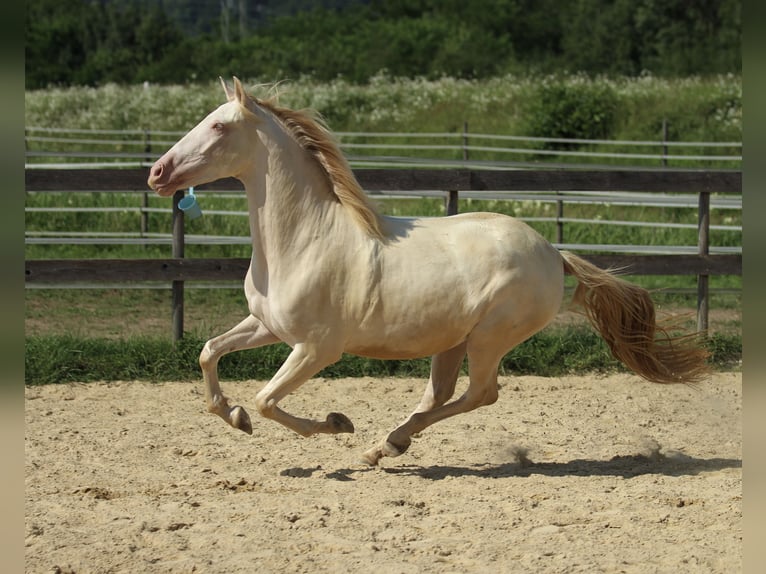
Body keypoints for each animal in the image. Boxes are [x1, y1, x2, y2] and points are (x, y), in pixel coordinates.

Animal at [147, 79, 712, 466]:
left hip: (489, 338)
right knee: (441, 394)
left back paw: (384, 443)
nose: (157, 172)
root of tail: (553, 252)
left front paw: (336, 423)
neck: (305, 240)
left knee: (481, 393)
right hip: (453, 340)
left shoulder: (316, 348)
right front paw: (232, 415)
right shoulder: (267, 325)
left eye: (219, 126)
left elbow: (266, 400)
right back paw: (385, 446)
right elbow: (208, 353)